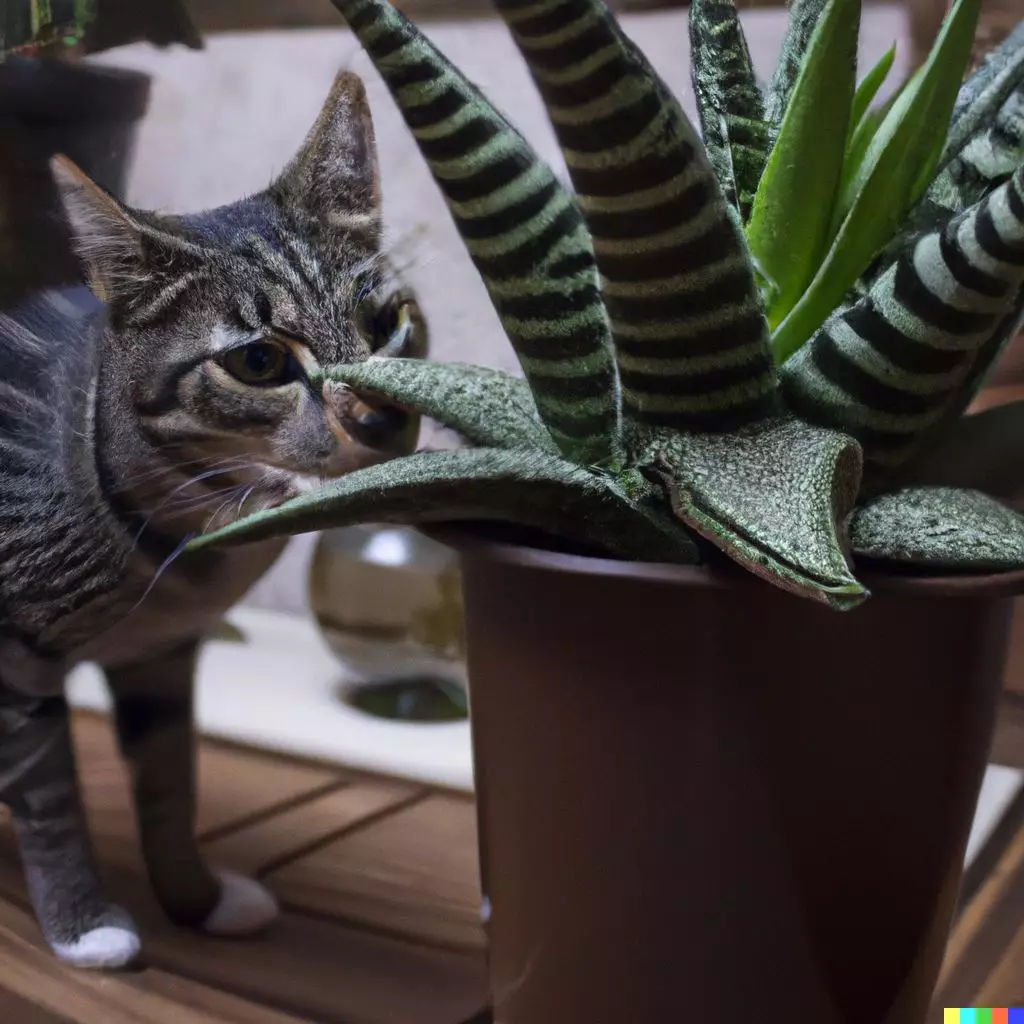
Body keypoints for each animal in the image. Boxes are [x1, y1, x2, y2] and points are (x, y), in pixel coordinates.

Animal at [0, 70, 425, 966]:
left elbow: (171, 788)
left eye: (385, 323)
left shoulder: (160, 660)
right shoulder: (16, 667)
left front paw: (193, 900)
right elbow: (52, 800)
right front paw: (84, 925)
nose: (379, 418)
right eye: (259, 361)